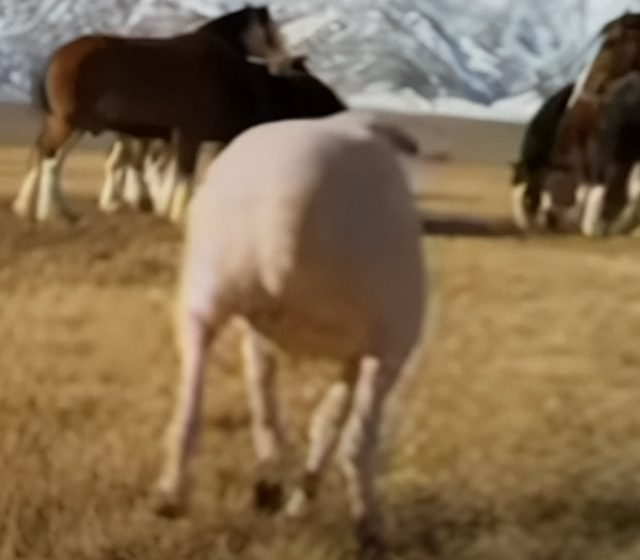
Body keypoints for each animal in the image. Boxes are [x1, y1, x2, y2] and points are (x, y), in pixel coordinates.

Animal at [12, 5, 288, 222]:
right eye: (273, 34)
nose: (284, 65)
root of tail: (58, 55)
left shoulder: (177, 137)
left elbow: (173, 173)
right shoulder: (190, 133)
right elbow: (183, 175)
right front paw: (178, 213)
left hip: (75, 125)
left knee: (51, 158)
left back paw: (52, 210)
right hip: (67, 123)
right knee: (50, 159)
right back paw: (52, 214)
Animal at [153, 111, 427, 557]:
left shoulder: (274, 339)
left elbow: (305, 417)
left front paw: (284, 492)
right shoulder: (375, 349)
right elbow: (335, 428)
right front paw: (299, 498)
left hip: (203, 299)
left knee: (191, 407)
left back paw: (175, 493)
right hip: (389, 340)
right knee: (359, 443)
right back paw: (366, 525)